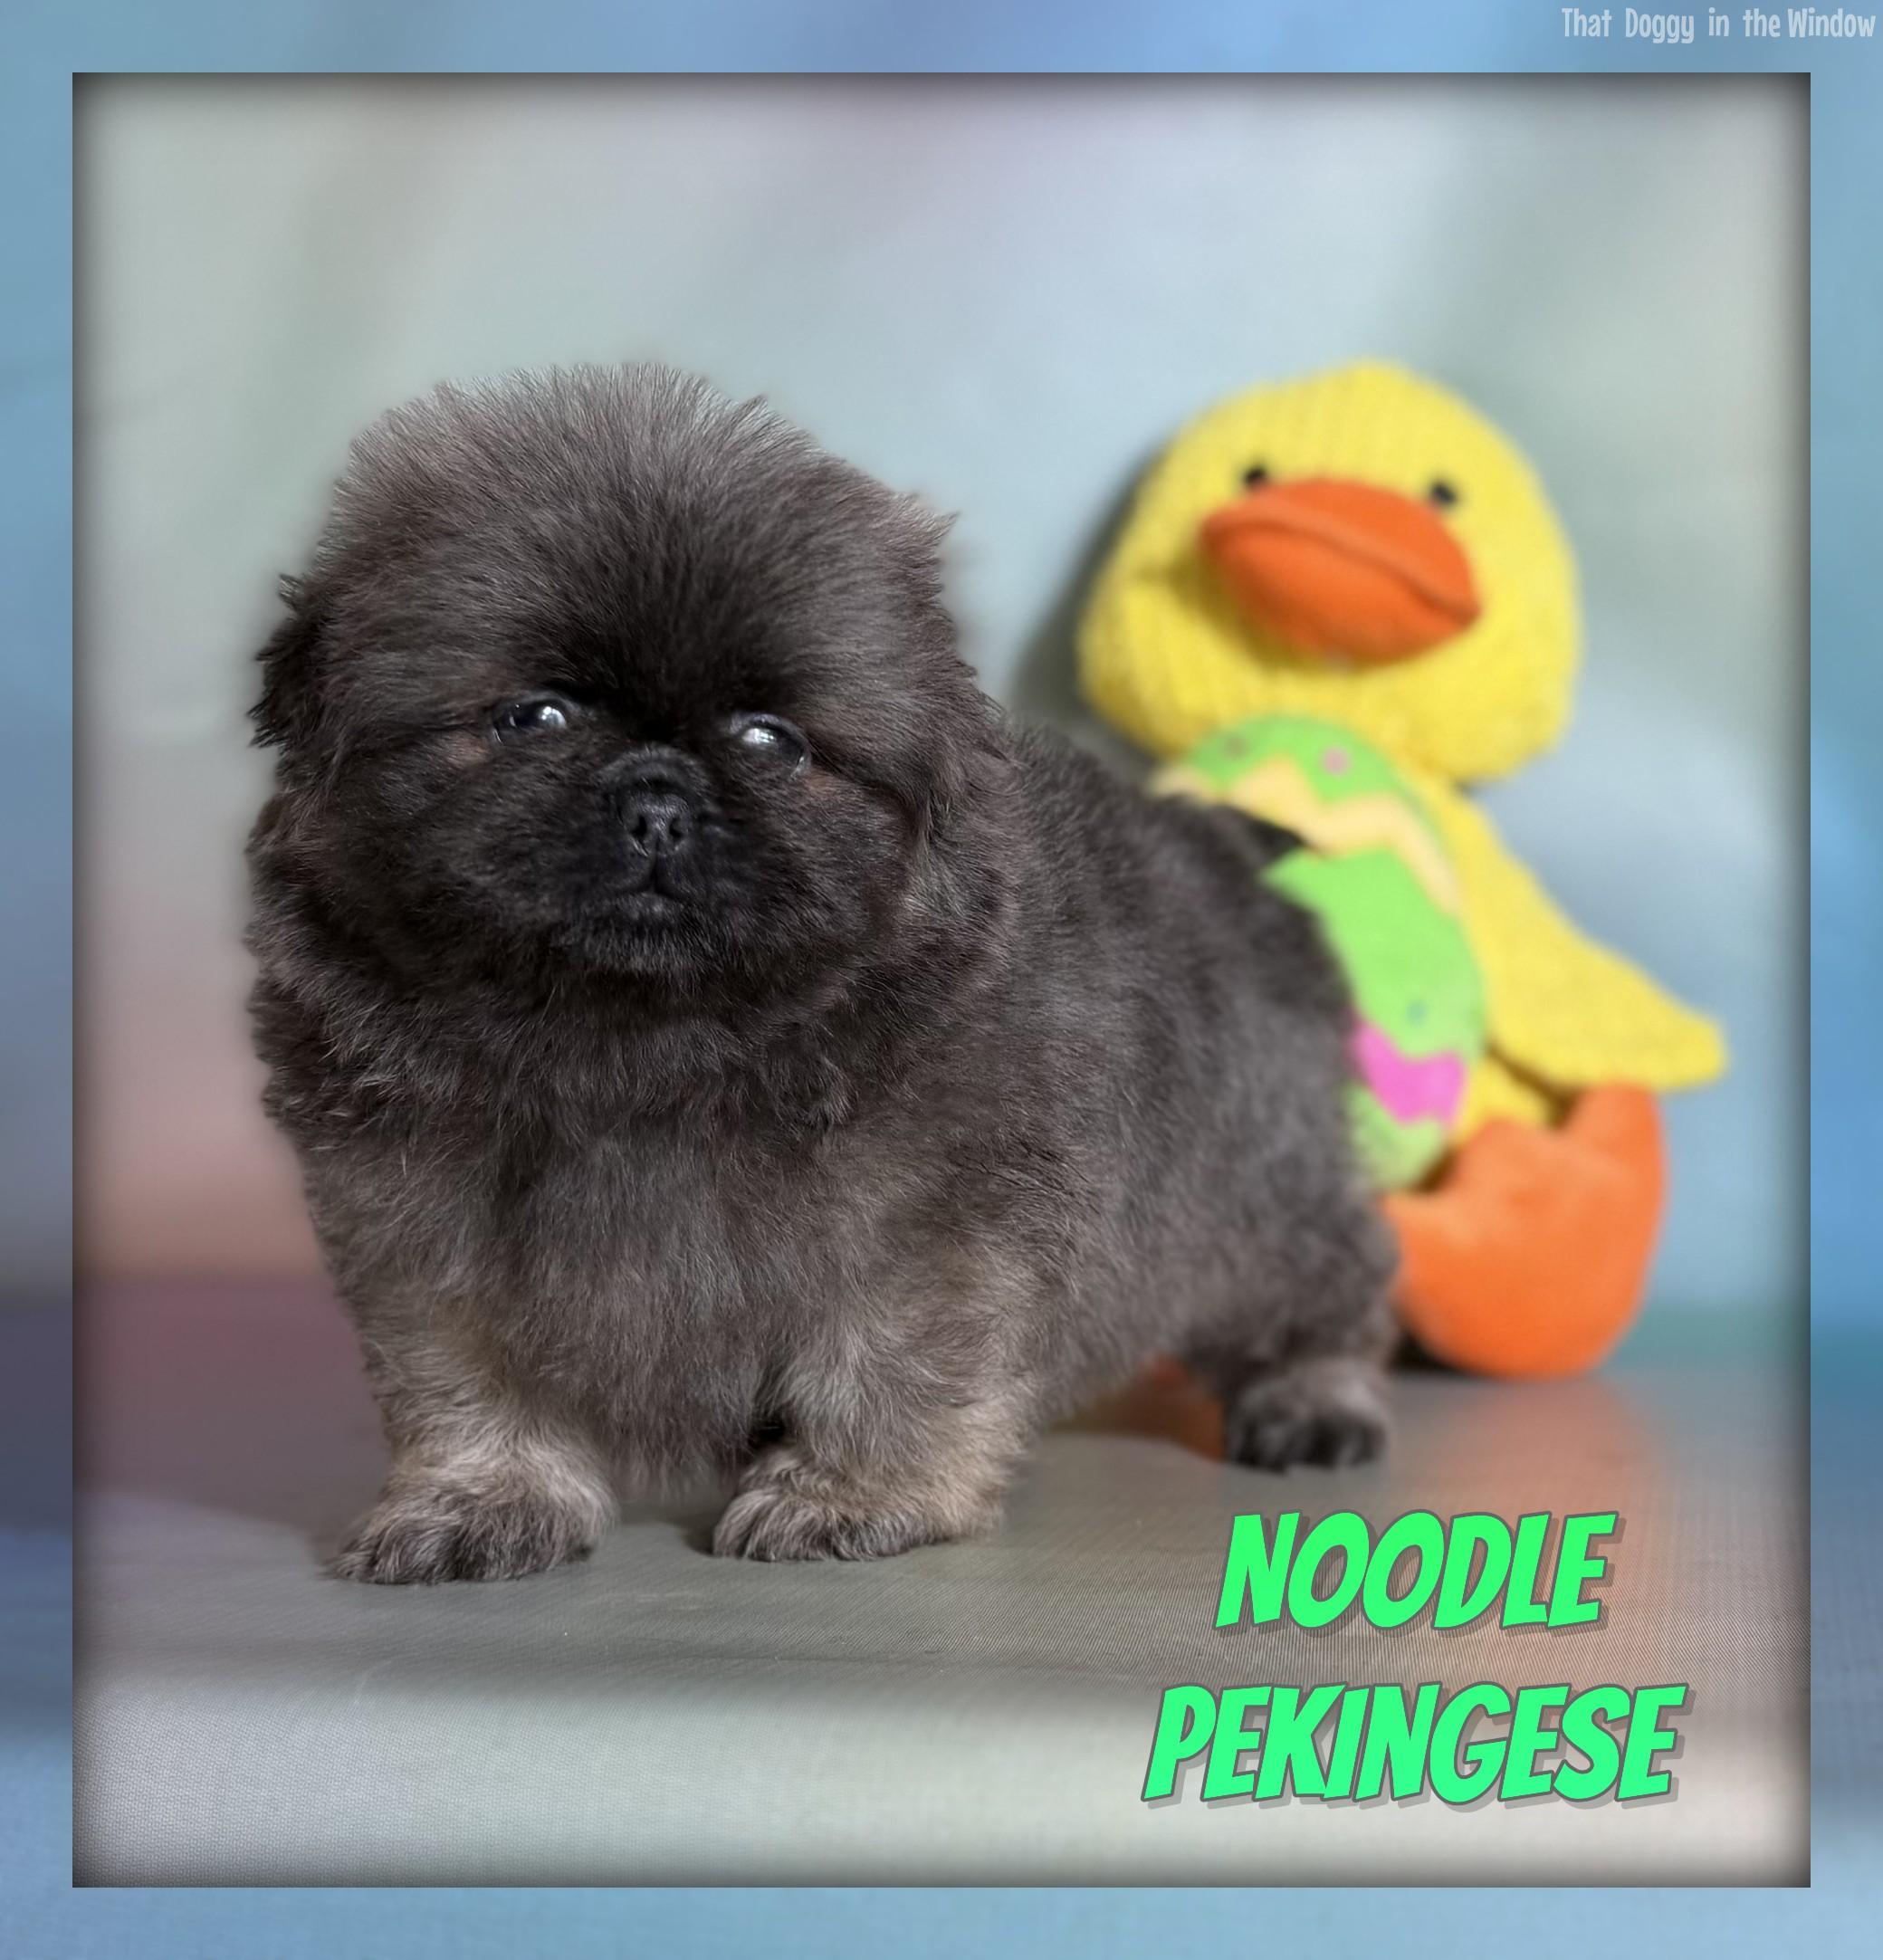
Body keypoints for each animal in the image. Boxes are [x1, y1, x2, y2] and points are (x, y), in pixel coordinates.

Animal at [244, 364, 1394, 1579]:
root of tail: (1232, 857)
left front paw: (854, 1493)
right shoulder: (421, 1221)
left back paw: (1313, 1396)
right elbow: (464, 1372)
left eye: (769, 740)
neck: (641, 1046)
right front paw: (481, 1496)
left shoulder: (926, 1227)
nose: (658, 801)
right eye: (533, 716)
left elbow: (888, 1363)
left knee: (1328, 1283)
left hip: (1256, 1191)